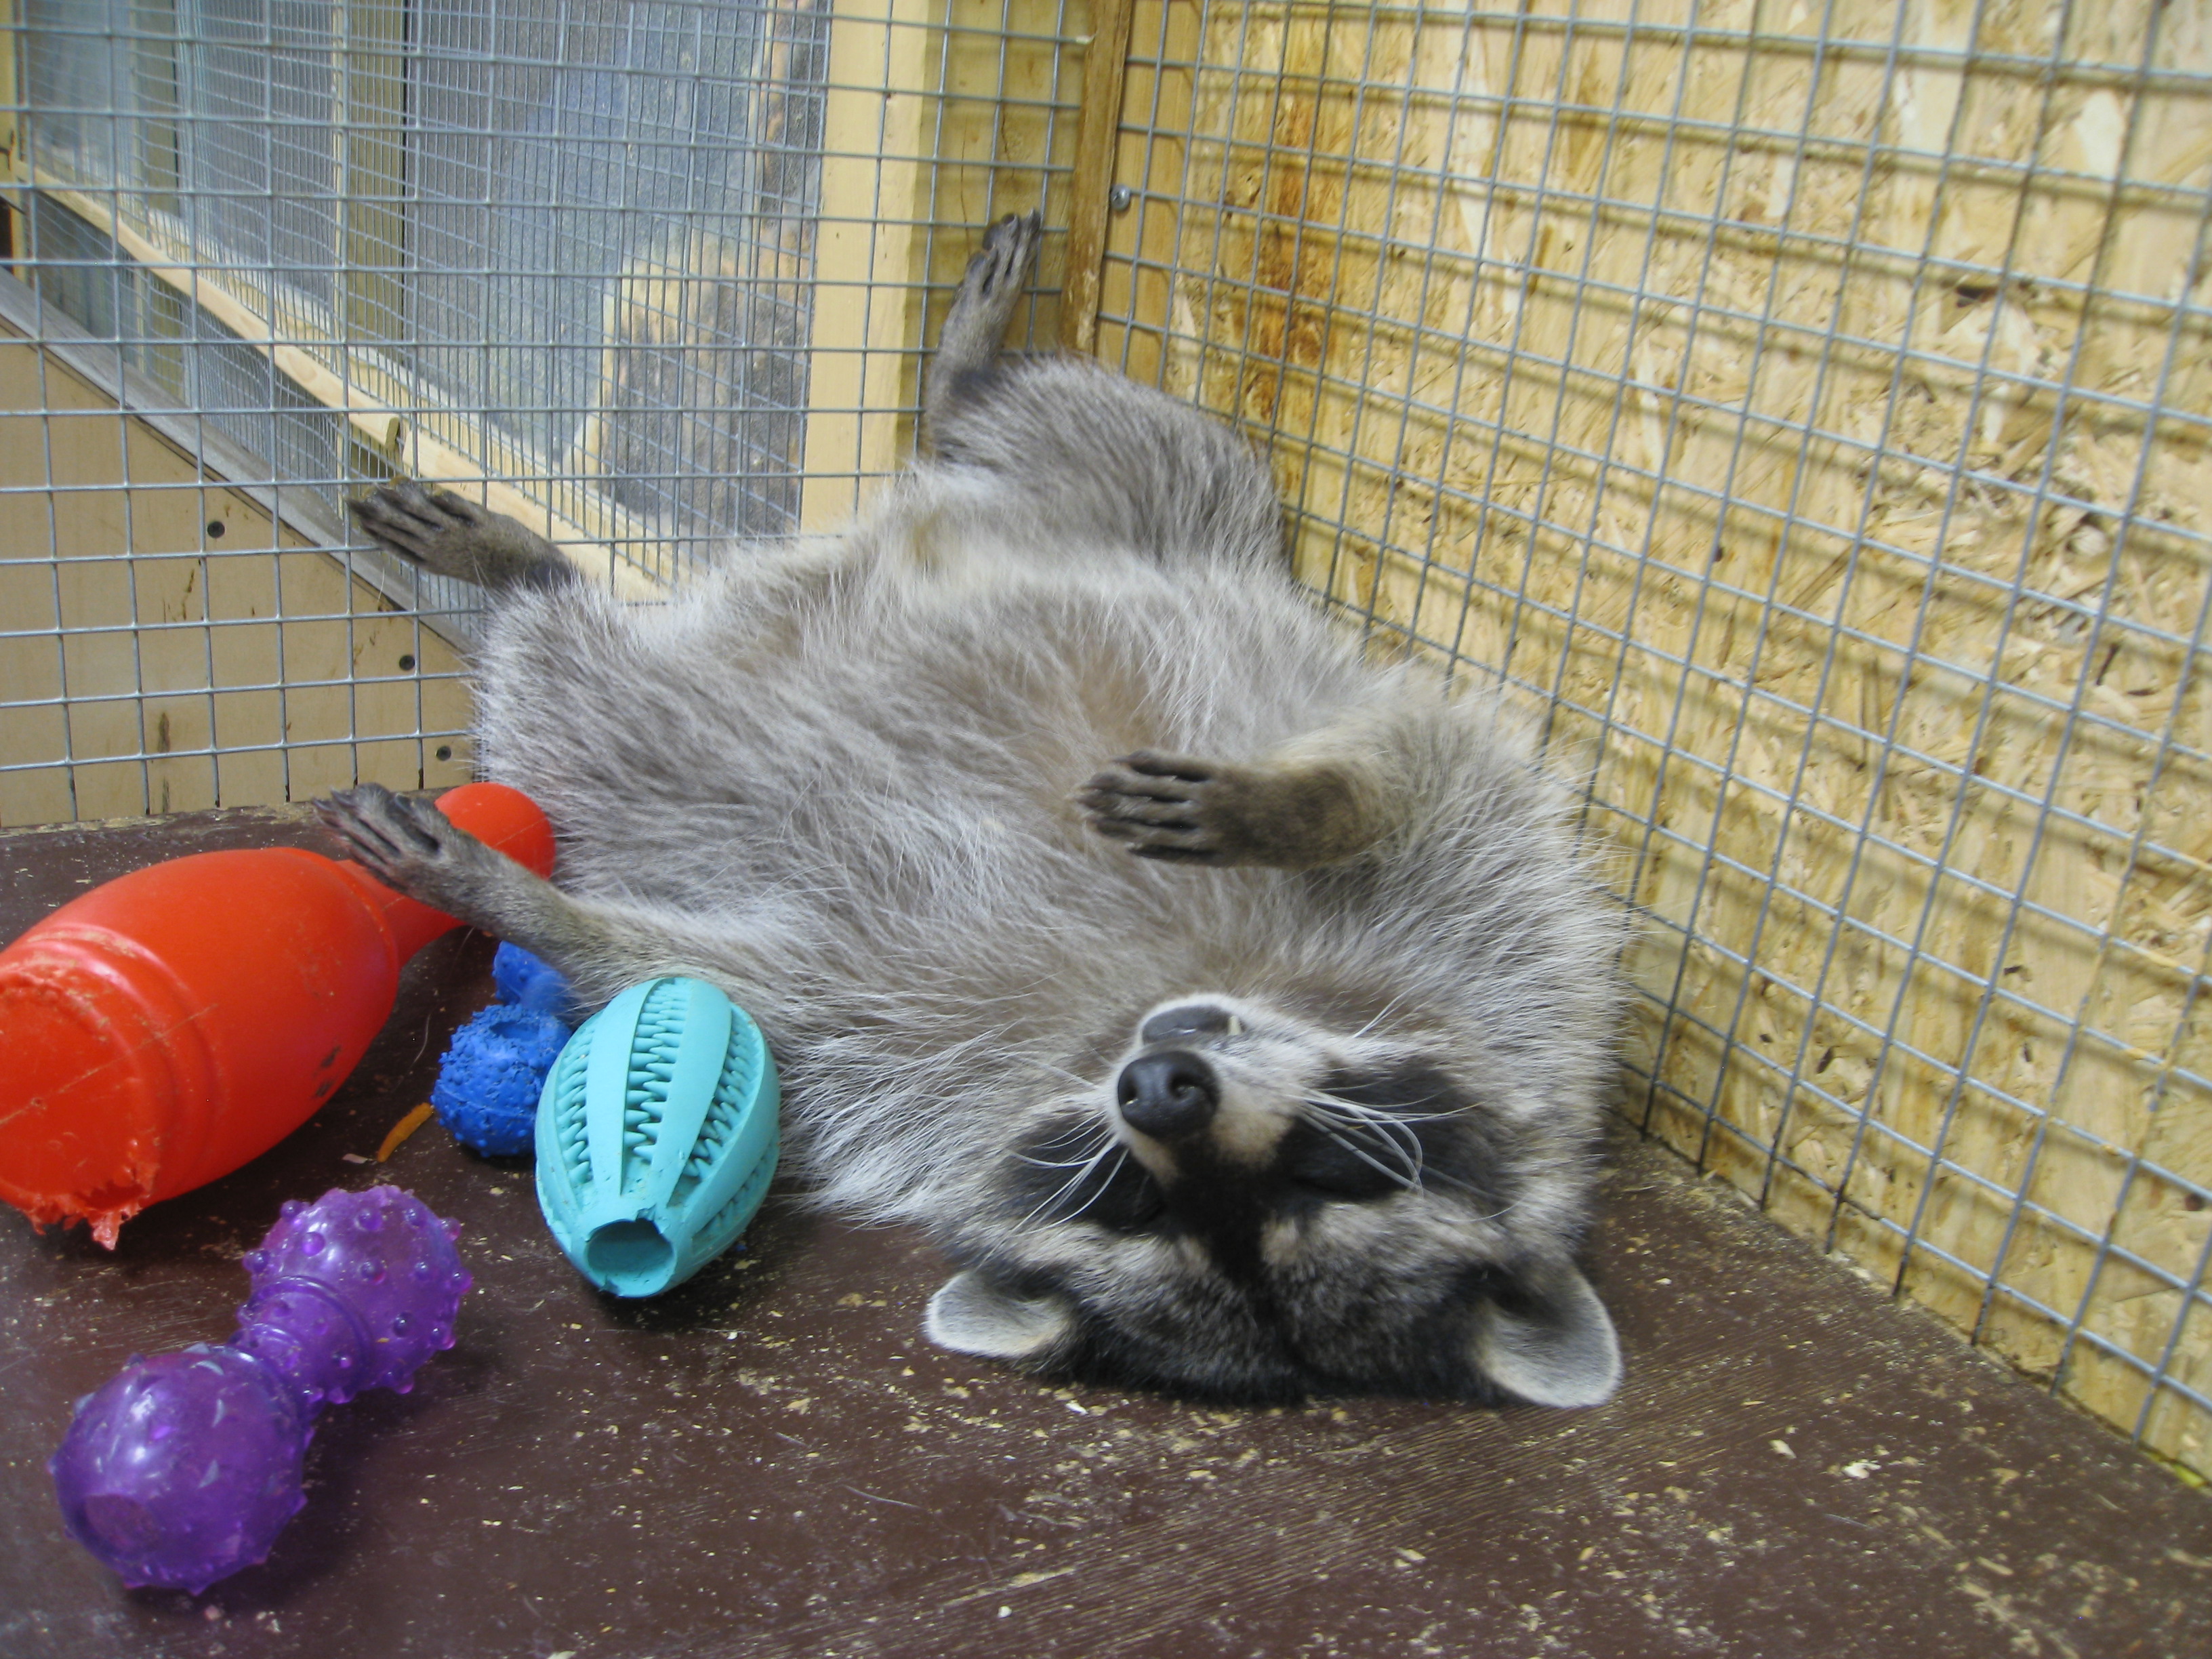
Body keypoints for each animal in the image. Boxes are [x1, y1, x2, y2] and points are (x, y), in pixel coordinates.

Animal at [318, 211, 1626, 1405]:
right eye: (1331, 1167)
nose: (1162, 1089)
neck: (1182, 984)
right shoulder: (1483, 871)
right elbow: (1401, 769)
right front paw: (1299, 804)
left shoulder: (913, 1040)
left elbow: (757, 988)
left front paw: (529, 906)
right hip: (1163, 529)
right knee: (1170, 454)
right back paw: (954, 386)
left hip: (651, 760)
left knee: (577, 711)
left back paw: (536, 606)